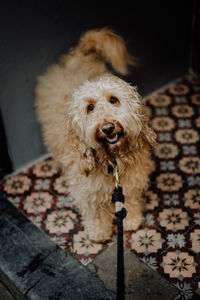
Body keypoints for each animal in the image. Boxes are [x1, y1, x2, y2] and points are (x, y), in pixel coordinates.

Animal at [35, 28, 156, 243]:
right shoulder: (87, 187)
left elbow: (130, 198)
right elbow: (95, 211)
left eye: (113, 100)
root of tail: (78, 56)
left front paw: (132, 220)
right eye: (90, 107)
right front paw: (99, 232)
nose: (107, 128)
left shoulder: (131, 178)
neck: (112, 160)